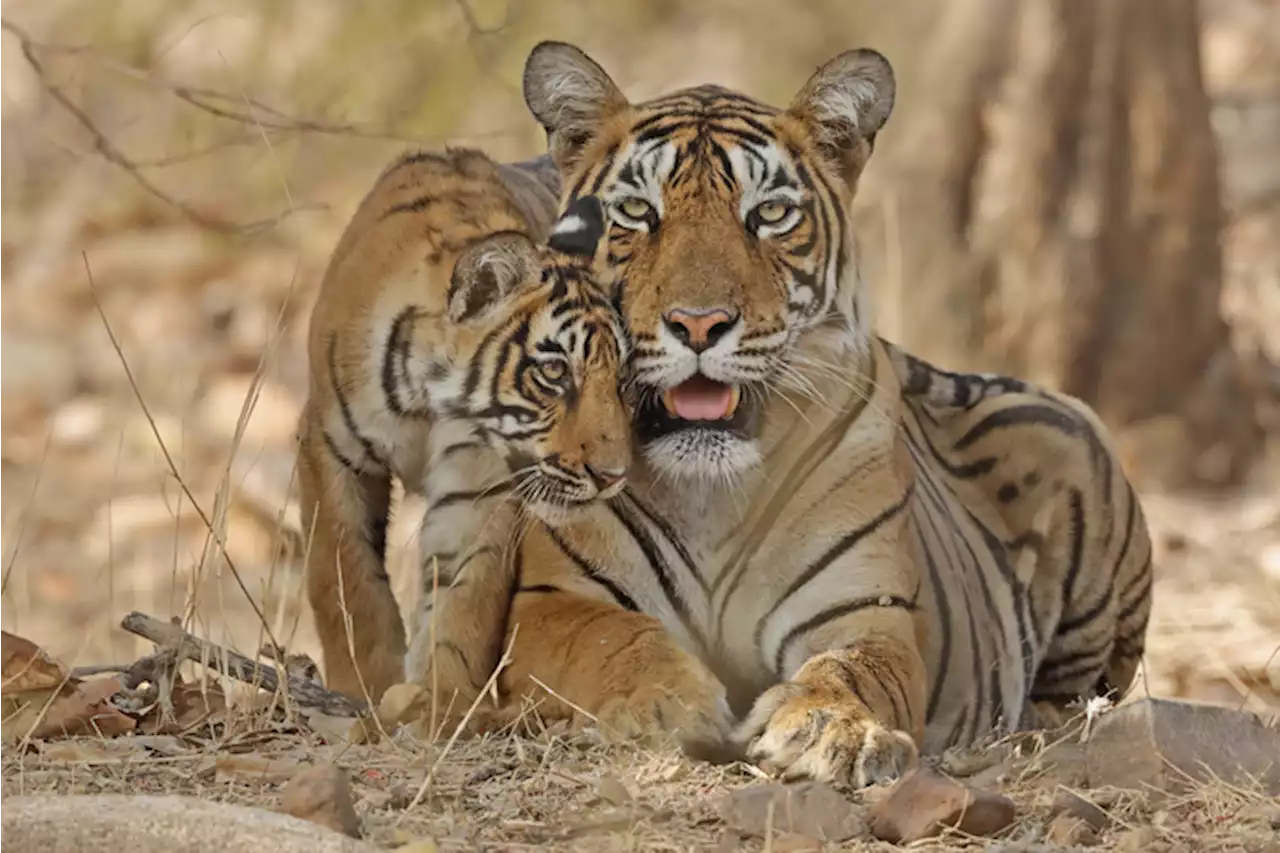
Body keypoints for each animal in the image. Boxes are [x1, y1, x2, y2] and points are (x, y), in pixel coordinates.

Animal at [294, 146, 634, 712]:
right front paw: (364, 687)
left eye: (622, 378)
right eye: (555, 372)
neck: (427, 401)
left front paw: (442, 701)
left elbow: (464, 597)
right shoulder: (330, 447)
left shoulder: (481, 485)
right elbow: (344, 577)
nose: (613, 476)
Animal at [417, 41, 1152, 783]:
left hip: (1074, 444)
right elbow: (608, 640)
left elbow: (853, 667)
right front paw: (665, 702)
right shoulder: (554, 600)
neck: (711, 493)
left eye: (769, 214)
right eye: (635, 210)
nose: (699, 323)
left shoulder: (865, 609)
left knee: (1081, 693)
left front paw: (829, 727)